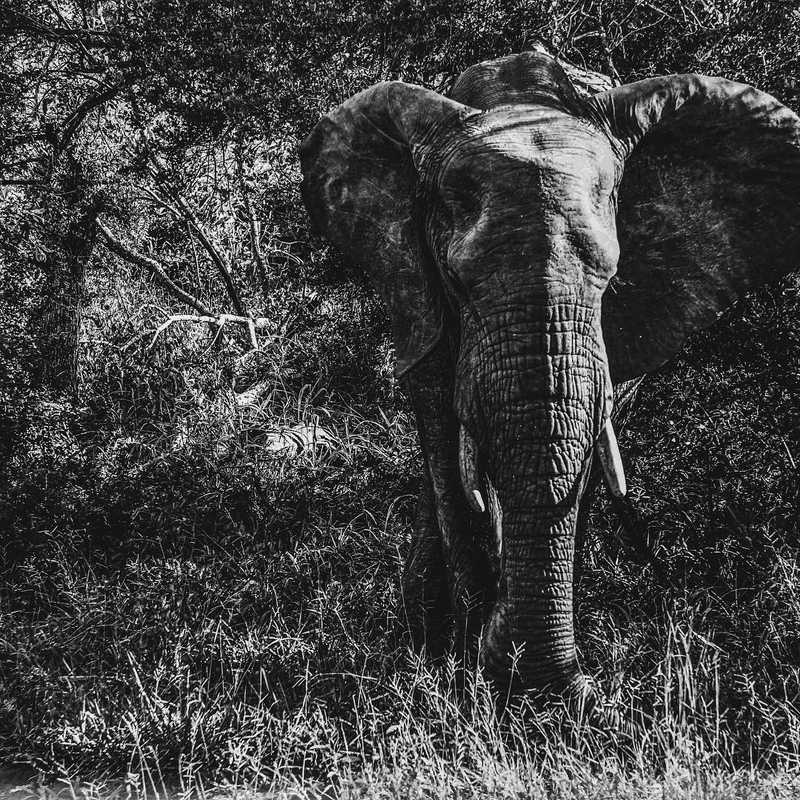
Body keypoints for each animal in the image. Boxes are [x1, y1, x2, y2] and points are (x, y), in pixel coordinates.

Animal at [299, 50, 800, 712]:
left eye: (611, 277)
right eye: (459, 283)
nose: (576, 689)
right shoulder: (417, 290)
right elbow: (446, 447)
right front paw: (461, 657)